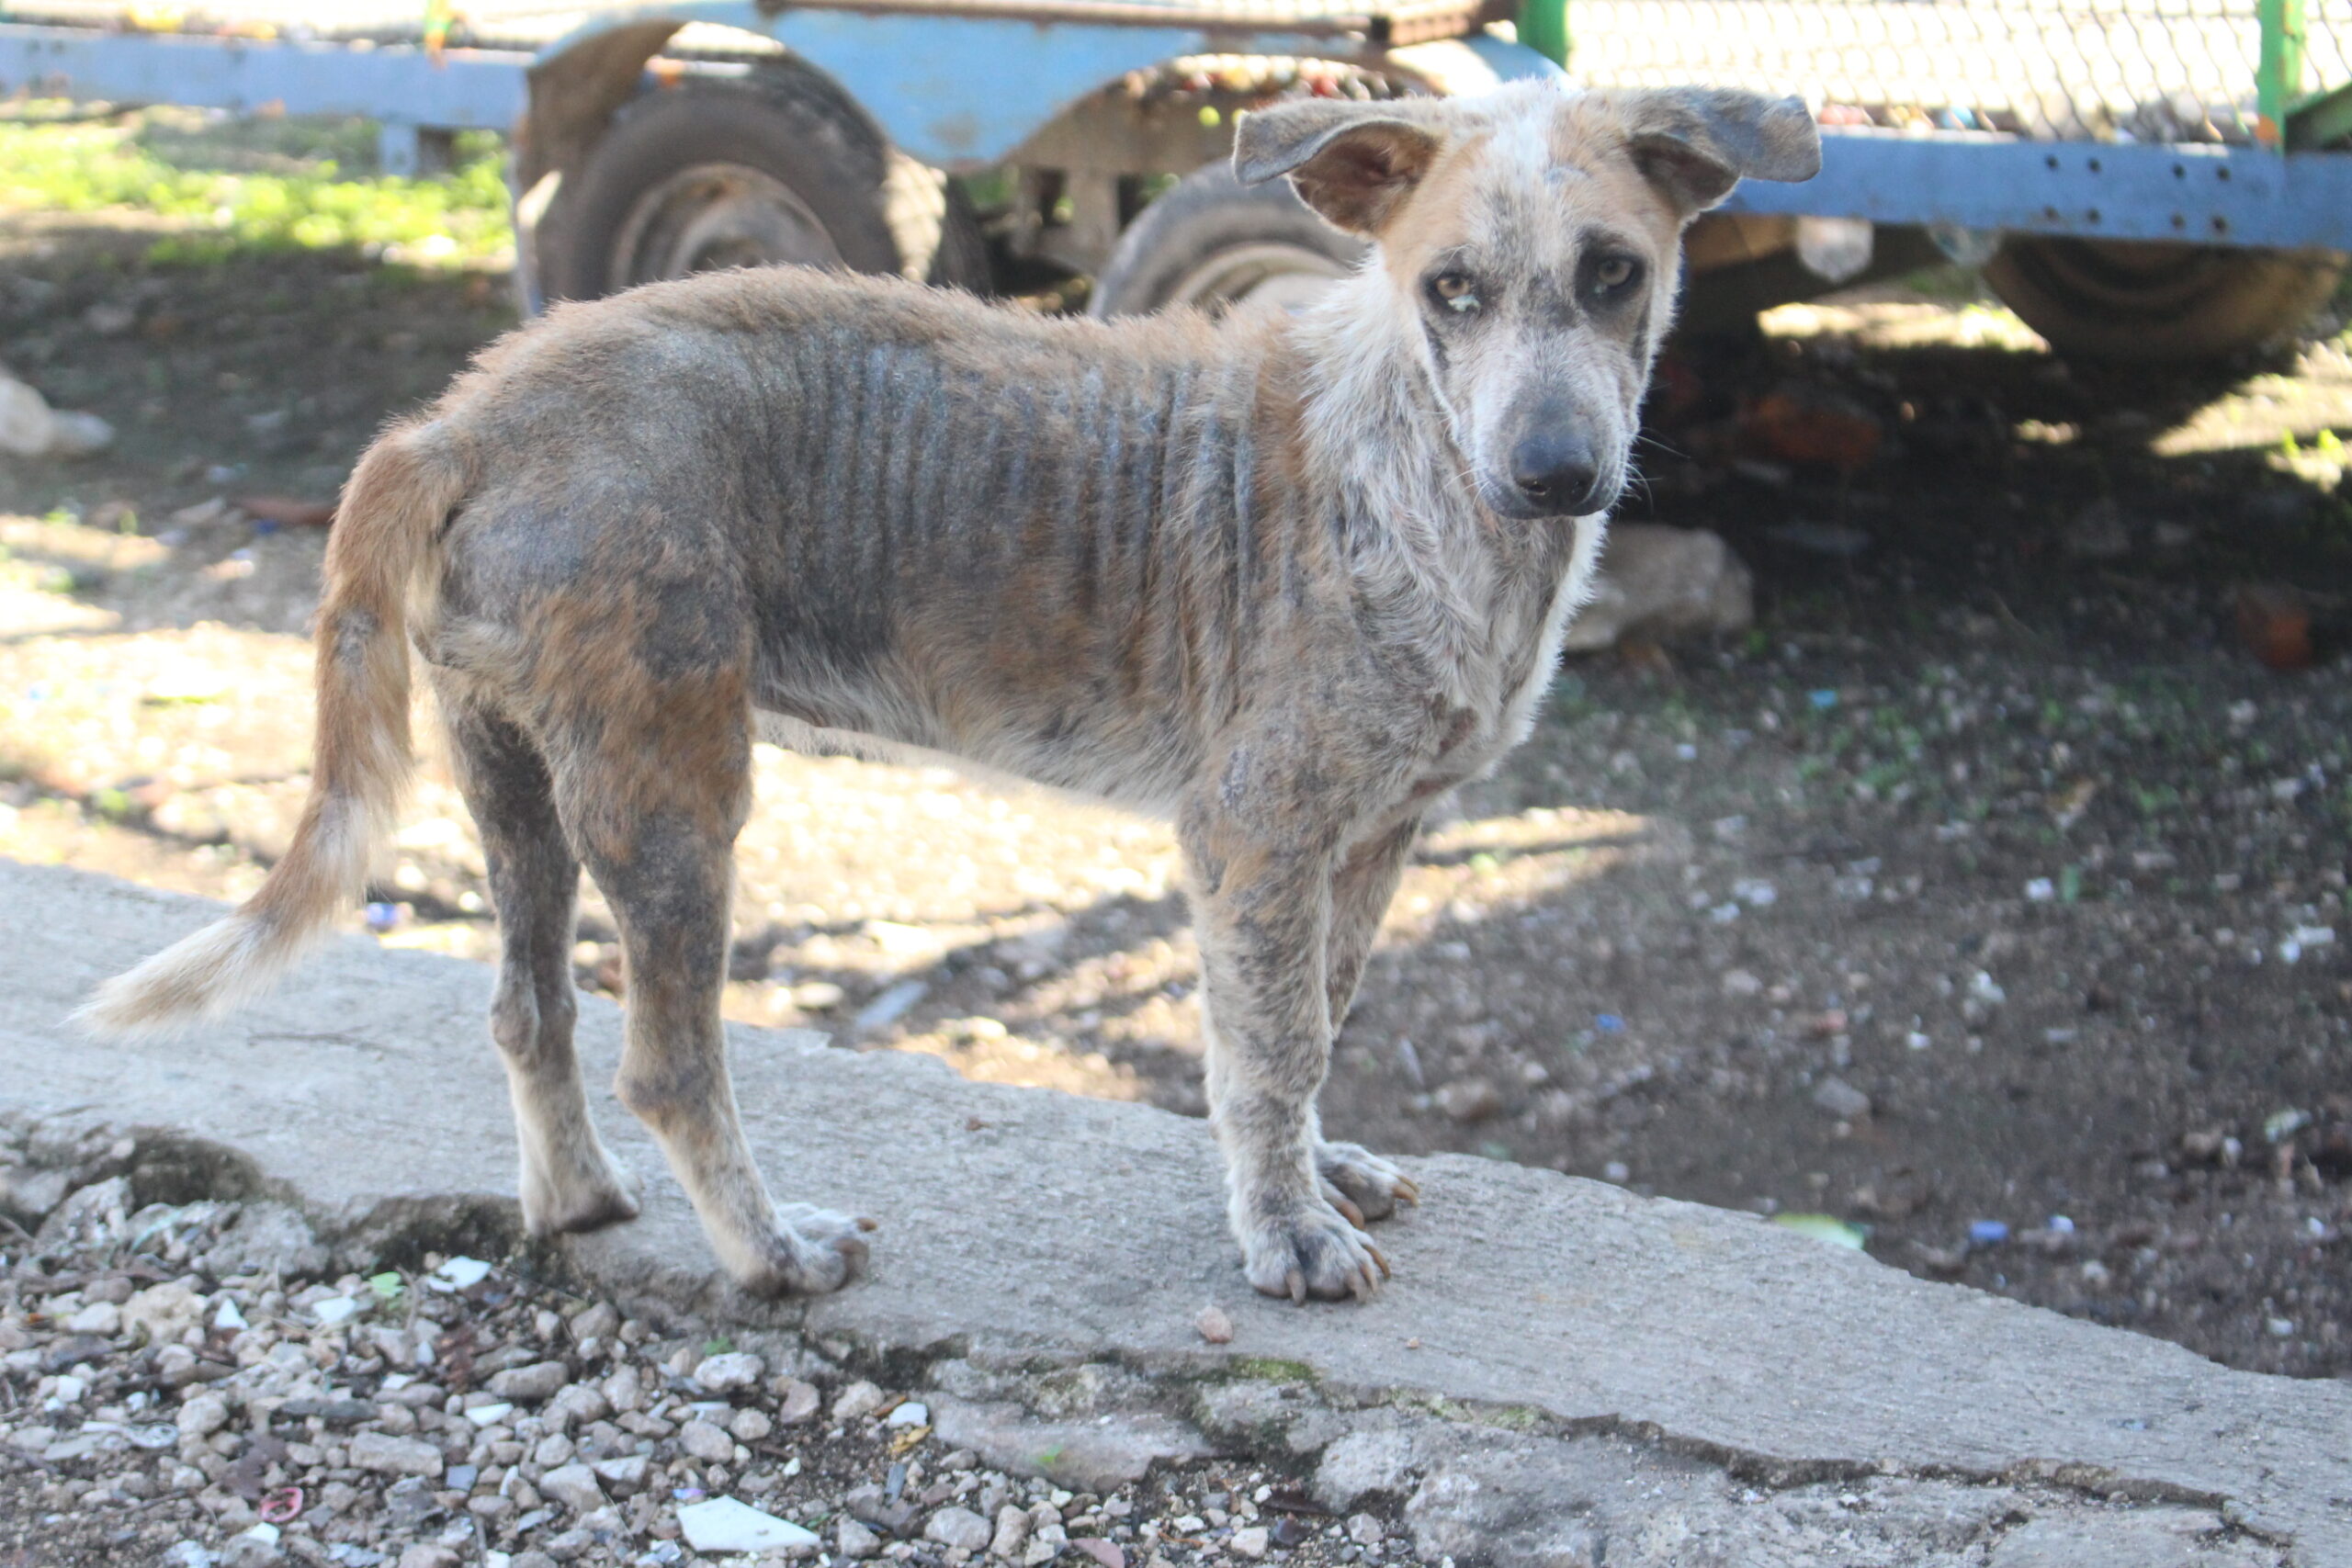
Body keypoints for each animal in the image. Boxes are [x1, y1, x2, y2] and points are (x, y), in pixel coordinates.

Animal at [83, 83, 1815, 1316]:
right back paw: (771, 1253)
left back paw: (576, 1203)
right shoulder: (1253, 834)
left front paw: (1317, 1174)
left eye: (1616, 276)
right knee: (669, 1061)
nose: (1556, 473)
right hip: (675, 778)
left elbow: (1317, 1022)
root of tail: (459, 417)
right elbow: (1264, 1051)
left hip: (513, 768)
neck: (1401, 459)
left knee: (526, 1007)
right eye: (1449, 288)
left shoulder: (1372, 839)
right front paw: (1286, 1231)